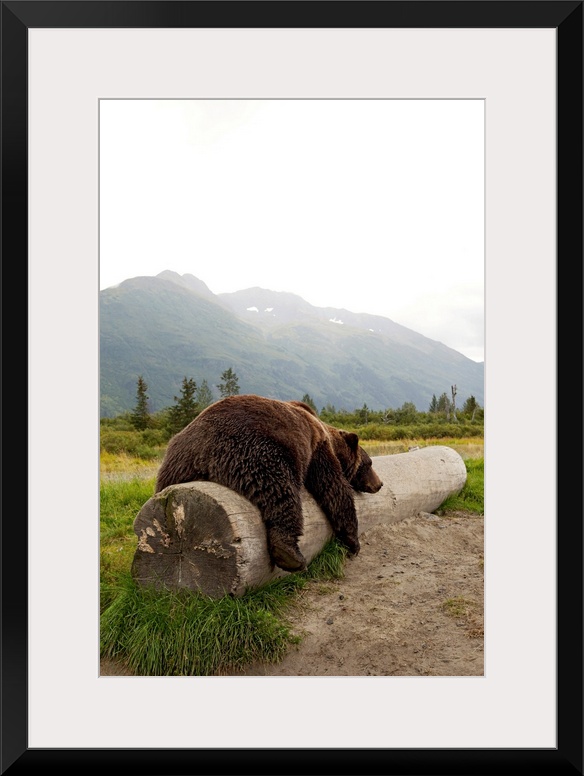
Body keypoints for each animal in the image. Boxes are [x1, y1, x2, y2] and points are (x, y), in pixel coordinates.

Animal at [154, 394, 384, 568]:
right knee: (280, 491)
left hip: (174, 467)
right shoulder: (317, 448)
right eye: (369, 463)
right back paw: (290, 555)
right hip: (258, 450)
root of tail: (201, 451)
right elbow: (334, 488)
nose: (379, 484)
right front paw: (353, 542)